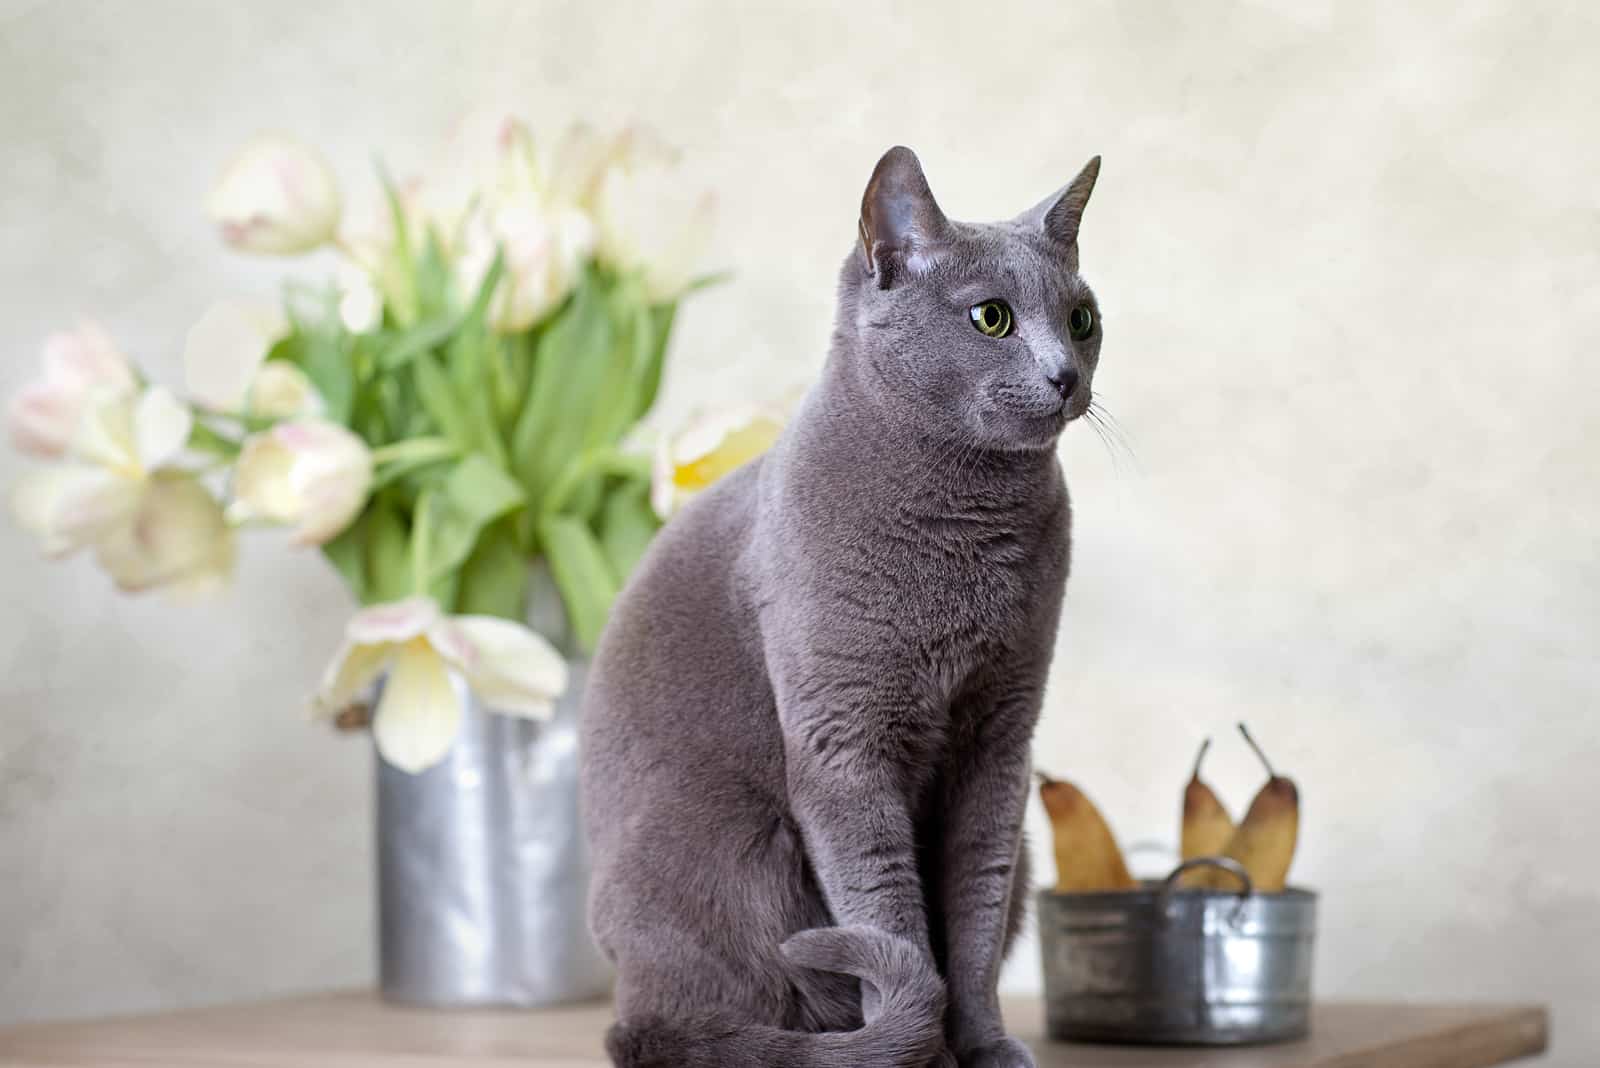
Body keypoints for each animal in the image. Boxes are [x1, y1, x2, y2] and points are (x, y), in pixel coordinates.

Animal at [582, 143, 1107, 1068]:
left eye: (1082, 319)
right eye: (993, 319)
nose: (1065, 373)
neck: (966, 526)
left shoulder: (1001, 737)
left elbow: (974, 915)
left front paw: (983, 1048)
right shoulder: (844, 739)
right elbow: (888, 909)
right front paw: (923, 1052)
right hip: (735, 841)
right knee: (668, 1030)